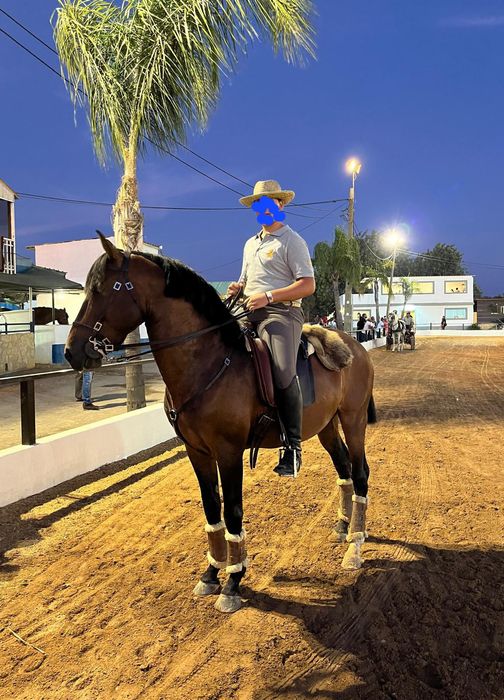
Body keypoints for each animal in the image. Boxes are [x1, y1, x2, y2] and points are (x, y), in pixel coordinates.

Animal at [64, 235, 376, 614]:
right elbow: (212, 509)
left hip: (353, 419)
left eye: (105, 288)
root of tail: (353, 346)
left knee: (360, 473)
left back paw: (355, 545)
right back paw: (343, 528)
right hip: (327, 426)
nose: (71, 352)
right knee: (344, 469)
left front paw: (232, 582)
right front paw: (211, 574)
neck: (208, 362)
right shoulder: (197, 451)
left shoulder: (228, 452)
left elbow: (234, 513)